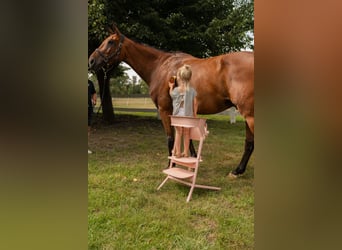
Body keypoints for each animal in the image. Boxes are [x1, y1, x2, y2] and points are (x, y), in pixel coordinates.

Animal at [88, 24, 254, 178]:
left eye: (110, 42)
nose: (91, 61)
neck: (161, 66)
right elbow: (186, 137)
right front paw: (191, 160)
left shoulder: (165, 110)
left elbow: (170, 138)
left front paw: (171, 165)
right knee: (249, 143)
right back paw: (238, 171)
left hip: (249, 115)